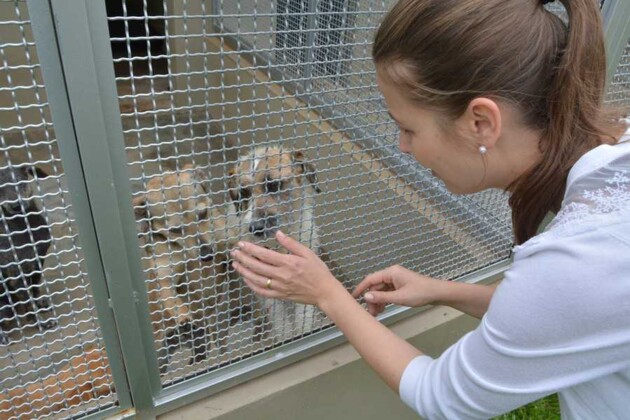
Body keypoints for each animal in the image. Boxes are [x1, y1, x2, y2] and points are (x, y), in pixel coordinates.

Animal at [0, 166, 56, 346]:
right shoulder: (16, 276)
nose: (16, 206)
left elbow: (35, 287)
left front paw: (39, 302)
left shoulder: (39, 260)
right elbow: (29, 302)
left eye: (20, 182)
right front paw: (40, 323)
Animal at [133, 164, 235, 370]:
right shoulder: (165, 281)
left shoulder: (226, 243)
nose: (207, 254)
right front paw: (184, 318)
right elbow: (174, 301)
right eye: (174, 230)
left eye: (203, 214)